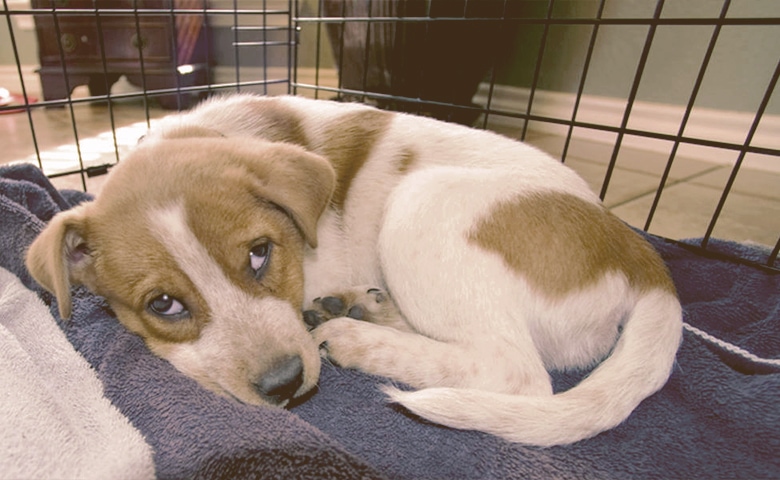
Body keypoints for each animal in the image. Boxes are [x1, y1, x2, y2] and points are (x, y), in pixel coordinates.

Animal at [25, 94, 684, 446]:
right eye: (164, 304)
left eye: (260, 253)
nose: (286, 385)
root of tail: (641, 256)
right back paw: (366, 308)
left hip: (423, 204)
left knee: (512, 370)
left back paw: (356, 337)